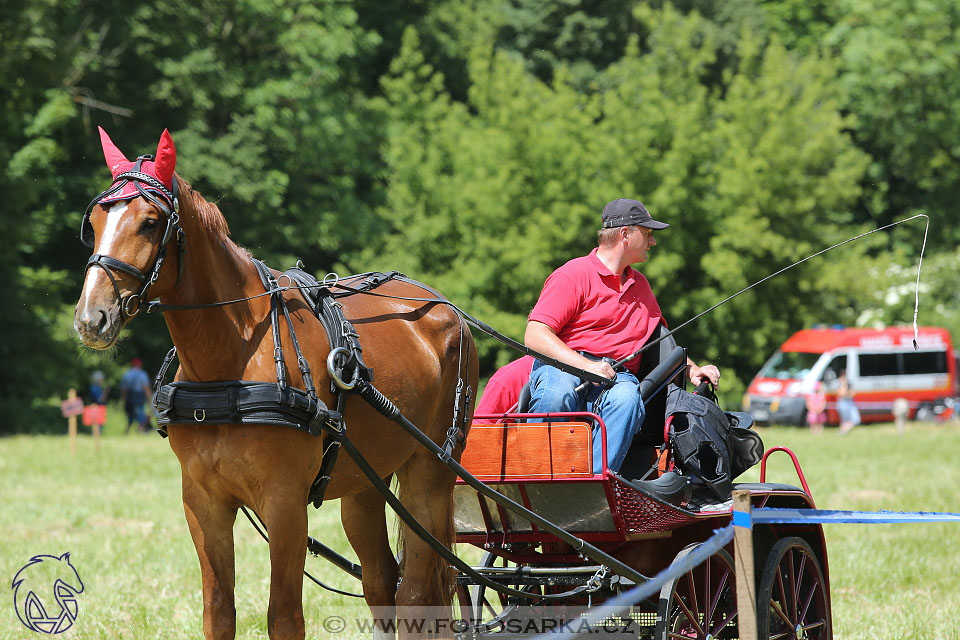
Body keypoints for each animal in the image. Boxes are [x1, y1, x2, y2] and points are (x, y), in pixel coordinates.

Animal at [73, 127, 478, 636]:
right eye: (95, 221)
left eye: (149, 222)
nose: (91, 318)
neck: (229, 364)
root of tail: (447, 309)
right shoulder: (202, 501)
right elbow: (218, 611)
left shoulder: (285, 503)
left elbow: (284, 616)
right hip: (367, 484)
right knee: (383, 585)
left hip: (430, 471)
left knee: (417, 594)